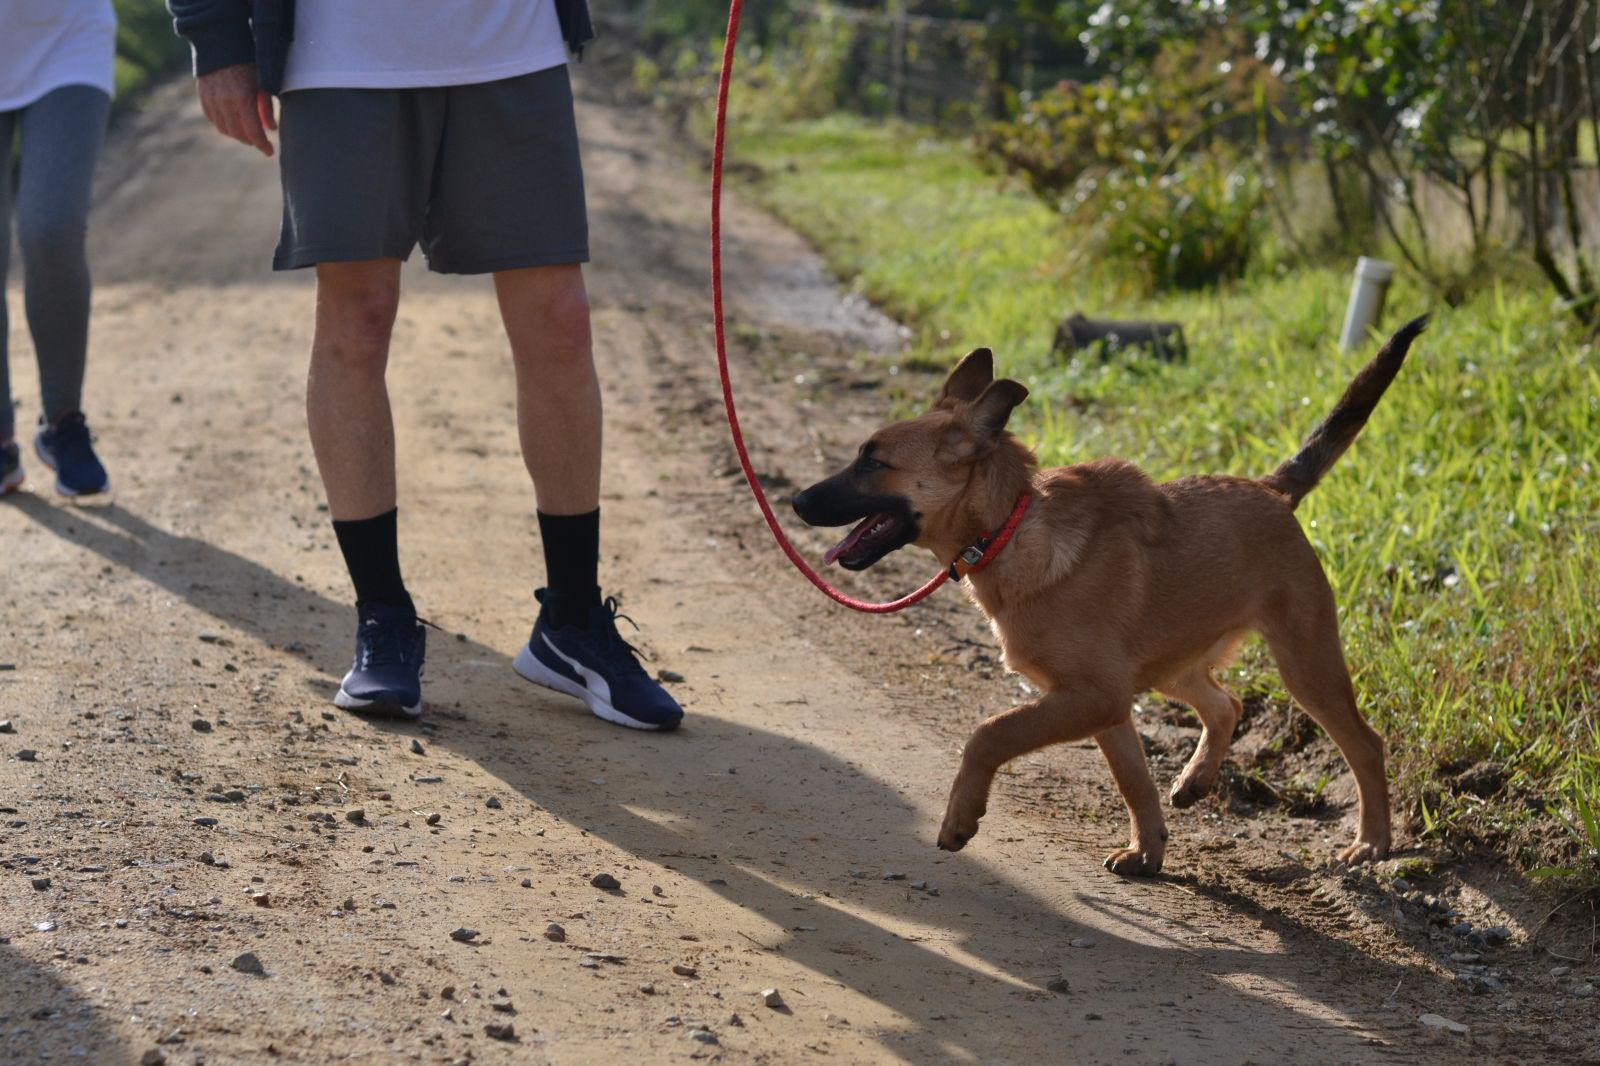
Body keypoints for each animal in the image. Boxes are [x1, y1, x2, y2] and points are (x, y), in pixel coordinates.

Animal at [792, 316, 1428, 874]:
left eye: (874, 461)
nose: (797, 500)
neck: (1007, 527)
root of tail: (1271, 488)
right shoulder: (1106, 703)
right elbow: (1134, 782)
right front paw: (1147, 852)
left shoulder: (1093, 696)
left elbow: (989, 732)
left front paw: (961, 817)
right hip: (1175, 663)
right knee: (1227, 705)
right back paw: (1196, 780)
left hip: (1305, 662)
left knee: (1365, 744)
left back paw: (1372, 842)